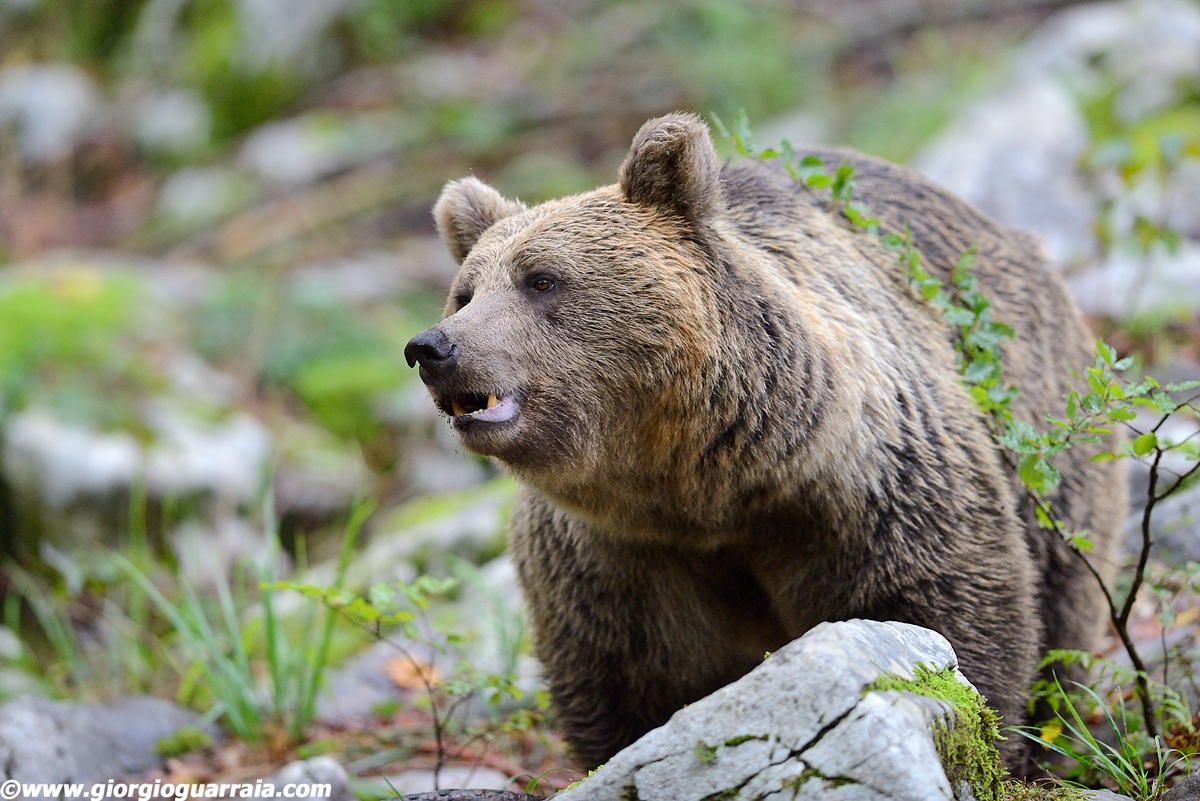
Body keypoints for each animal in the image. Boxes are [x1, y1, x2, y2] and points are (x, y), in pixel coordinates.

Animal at [404, 113, 1126, 770]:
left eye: (542, 278)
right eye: (465, 292)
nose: (433, 347)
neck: (707, 486)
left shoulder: (868, 487)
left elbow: (941, 613)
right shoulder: (617, 554)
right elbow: (628, 676)